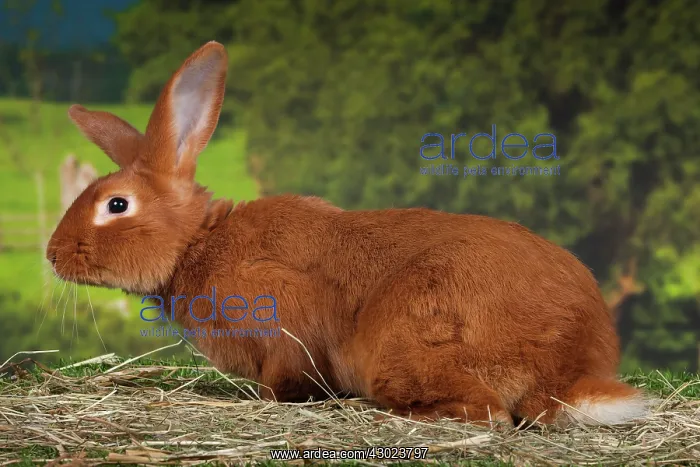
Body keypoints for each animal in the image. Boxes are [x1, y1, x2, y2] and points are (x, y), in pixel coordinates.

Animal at [47, 41, 651, 428]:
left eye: (116, 205)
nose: (52, 256)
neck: (198, 242)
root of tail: (568, 366)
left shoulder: (284, 319)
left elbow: (287, 377)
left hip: (402, 338)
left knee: (487, 412)